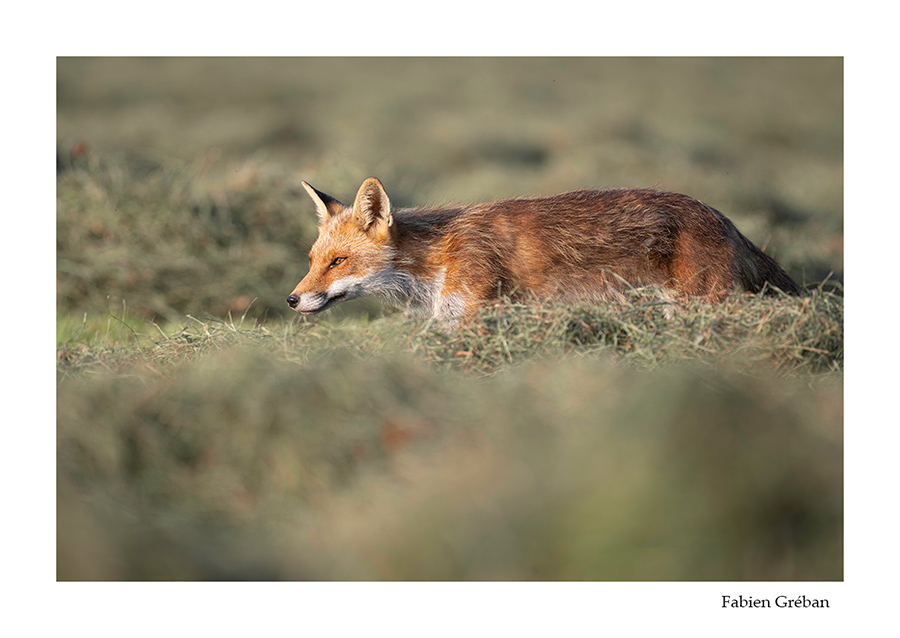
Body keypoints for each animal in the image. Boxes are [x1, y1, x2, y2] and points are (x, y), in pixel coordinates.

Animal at [286, 177, 801, 320]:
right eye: (311, 261)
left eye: (338, 262)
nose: (291, 299)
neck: (439, 257)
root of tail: (725, 219)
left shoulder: (472, 314)